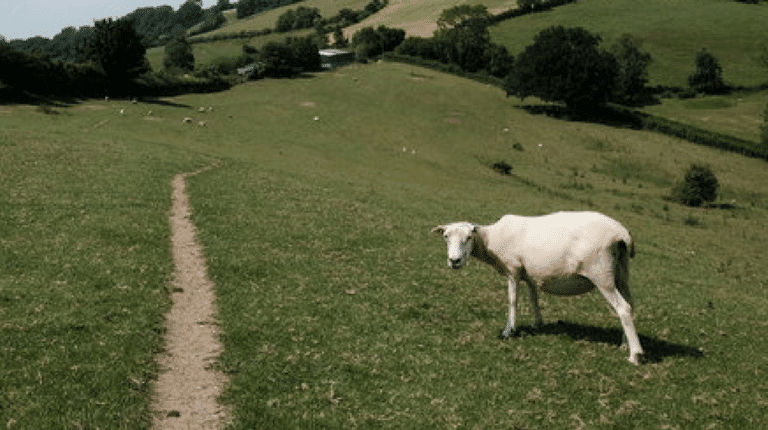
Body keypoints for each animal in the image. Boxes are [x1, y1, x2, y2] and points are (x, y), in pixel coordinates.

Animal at [432, 210, 640, 364]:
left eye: (469, 237)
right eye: (445, 236)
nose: (454, 261)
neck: (491, 239)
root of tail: (622, 233)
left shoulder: (513, 270)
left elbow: (512, 300)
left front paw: (509, 331)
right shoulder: (530, 275)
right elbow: (533, 298)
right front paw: (537, 323)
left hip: (601, 273)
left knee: (622, 308)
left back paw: (635, 354)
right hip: (621, 272)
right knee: (629, 305)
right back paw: (625, 343)